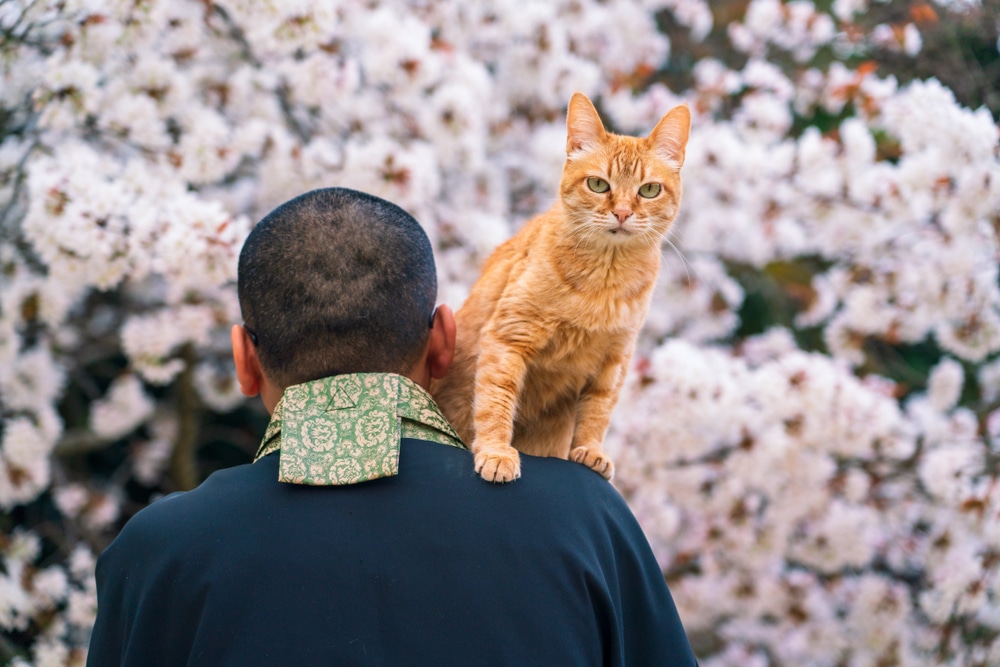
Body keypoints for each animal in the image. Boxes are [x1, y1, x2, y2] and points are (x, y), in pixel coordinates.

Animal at [434, 92, 692, 480]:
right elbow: (496, 397)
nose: (622, 213)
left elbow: (598, 411)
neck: (603, 281)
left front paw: (590, 451)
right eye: (598, 184)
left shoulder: (615, 359)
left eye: (649, 190)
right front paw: (496, 451)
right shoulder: (509, 336)